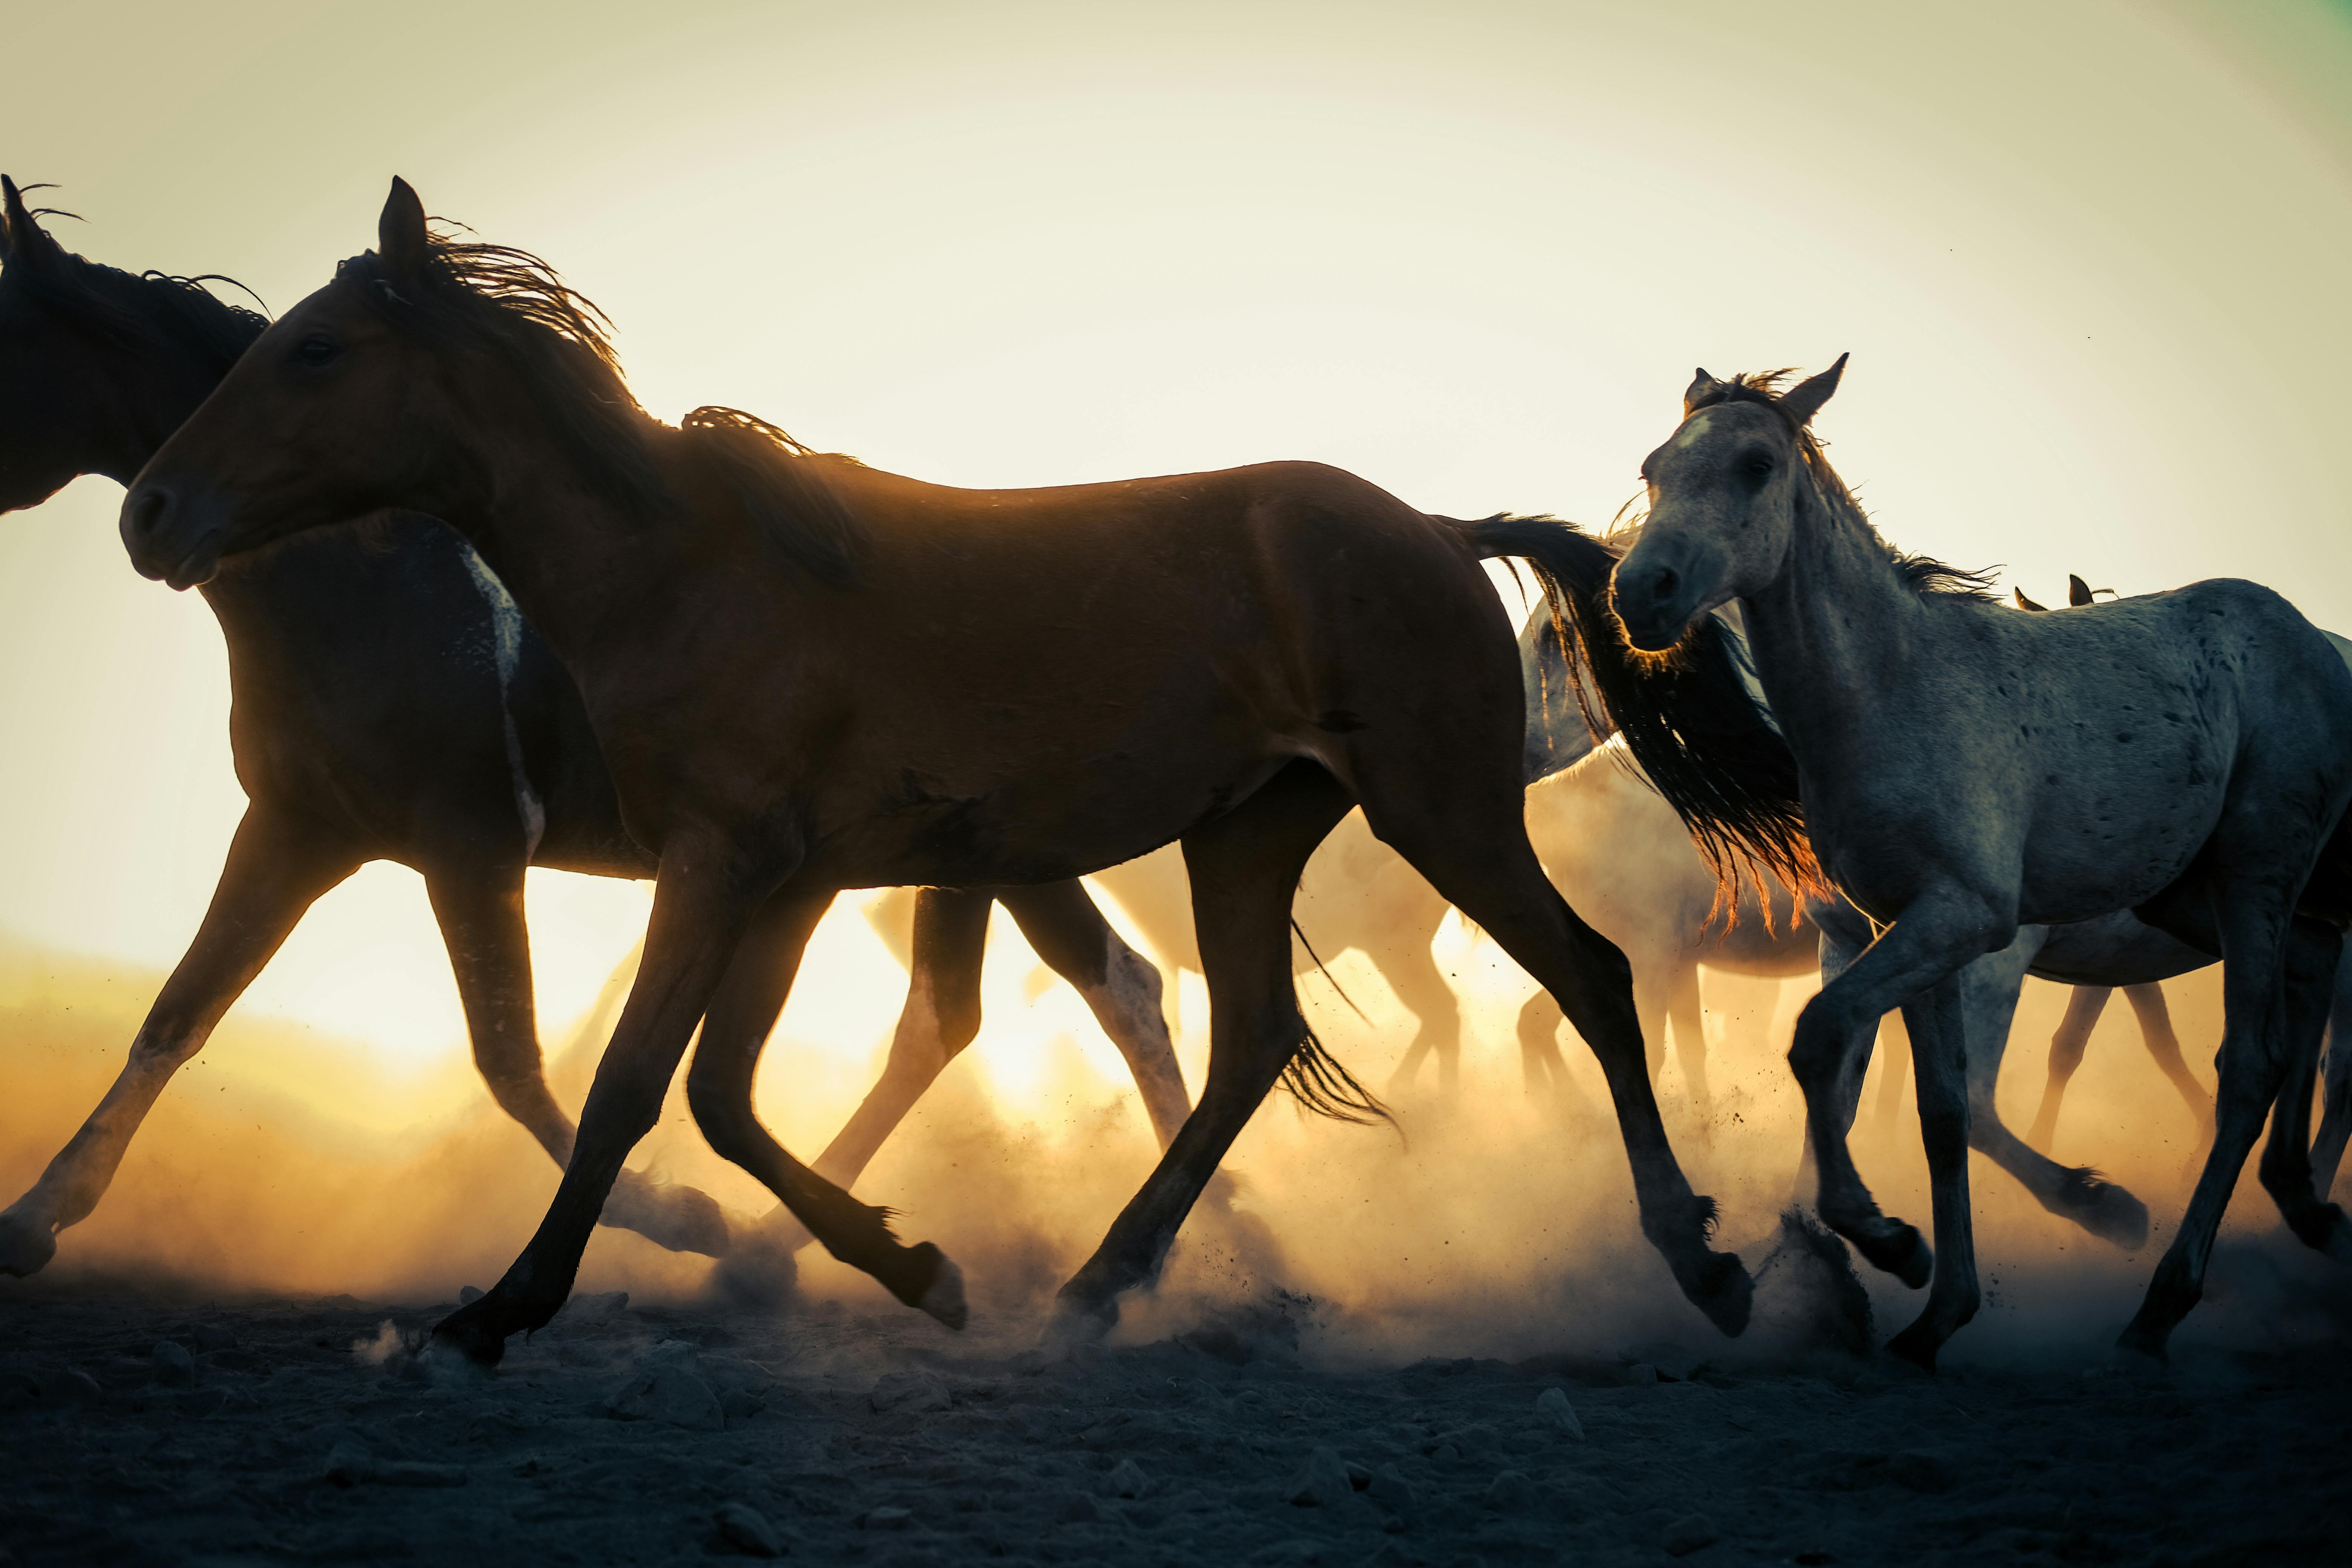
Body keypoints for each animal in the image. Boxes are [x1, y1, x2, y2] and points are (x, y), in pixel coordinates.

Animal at [0, 177, 1188, 1284]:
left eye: (317, 349)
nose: (150, 517)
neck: (383, 586)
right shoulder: (299, 831)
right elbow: (178, 1012)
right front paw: (38, 1215)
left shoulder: (469, 846)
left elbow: (511, 1061)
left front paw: (685, 1219)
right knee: (958, 1018)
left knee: (1113, 990)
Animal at [120, 179, 1797, 1363]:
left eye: (315, 350)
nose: (152, 511)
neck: (696, 572)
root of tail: (1441, 531)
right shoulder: (786, 879)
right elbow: (718, 1094)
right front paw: (916, 1269)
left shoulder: (727, 865)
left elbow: (627, 1088)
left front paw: (497, 1310)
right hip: (1251, 833)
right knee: (1251, 1041)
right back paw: (1099, 1282)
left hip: (1440, 812)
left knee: (1587, 977)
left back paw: (1705, 1264)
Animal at [1609, 356, 2352, 1365]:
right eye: (1655, 469)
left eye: (1756, 465)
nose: (1639, 590)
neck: (1893, 690)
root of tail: (2315, 643)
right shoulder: (1907, 926)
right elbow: (1941, 1111)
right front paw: (1935, 1312)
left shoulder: (1969, 921)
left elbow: (1821, 1040)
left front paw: (1891, 1242)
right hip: (2214, 904)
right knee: (2305, 1011)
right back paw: (2307, 1211)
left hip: (2256, 878)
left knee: (2251, 1066)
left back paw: (2163, 1302)